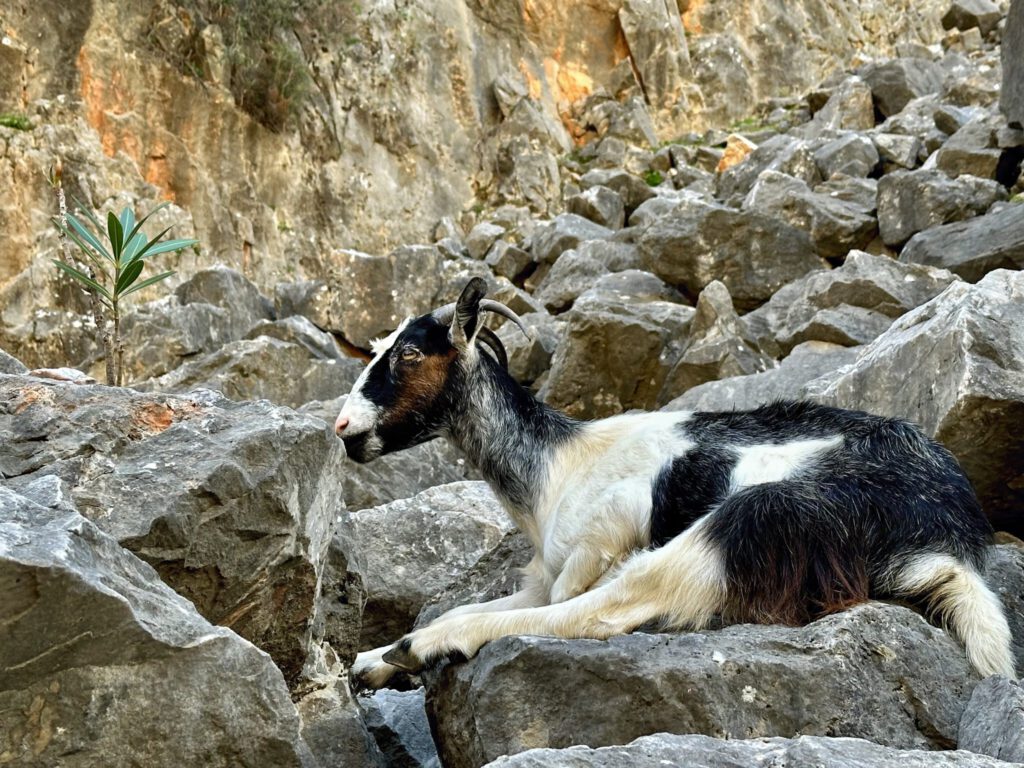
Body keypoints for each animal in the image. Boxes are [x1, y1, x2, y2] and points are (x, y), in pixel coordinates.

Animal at [337, 277, 1015, 689]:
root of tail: (946, 537)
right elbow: (492, 598)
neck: (555, 467)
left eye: (409, 355)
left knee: (609, 610)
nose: (343, 429)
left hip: (754, 518)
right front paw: (370, 658)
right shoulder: (543, 574)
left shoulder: (595, 545)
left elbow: (561, 605)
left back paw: (429, 644)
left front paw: (402, 649)